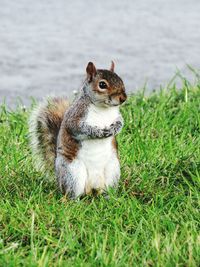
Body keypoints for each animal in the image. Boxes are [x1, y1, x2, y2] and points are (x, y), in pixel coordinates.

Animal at [28, 61, 126, 199]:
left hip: (113, 170)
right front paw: (97, 132)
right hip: (73, 173)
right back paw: (74, 200)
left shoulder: (117, 115)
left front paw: (115, 129)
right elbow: (77, 128)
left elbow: (120, 122)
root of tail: (92, 189)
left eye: (121, 79)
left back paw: (108, 197)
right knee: (72, 192)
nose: (123, 98)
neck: (103, 108)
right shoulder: (74, 117)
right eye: (102, 85)